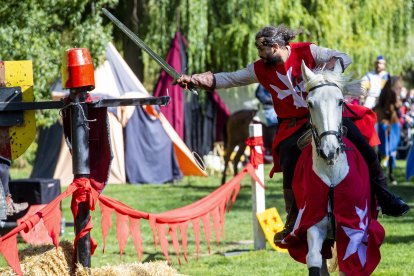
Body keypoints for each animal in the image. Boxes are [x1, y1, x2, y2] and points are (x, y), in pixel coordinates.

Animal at [282, 62, 384, 276]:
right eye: (310, 103)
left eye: (340, 102)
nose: (330, 151)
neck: (331, 176)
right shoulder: (313, 224)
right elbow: (313, 258)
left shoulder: (353, 230)